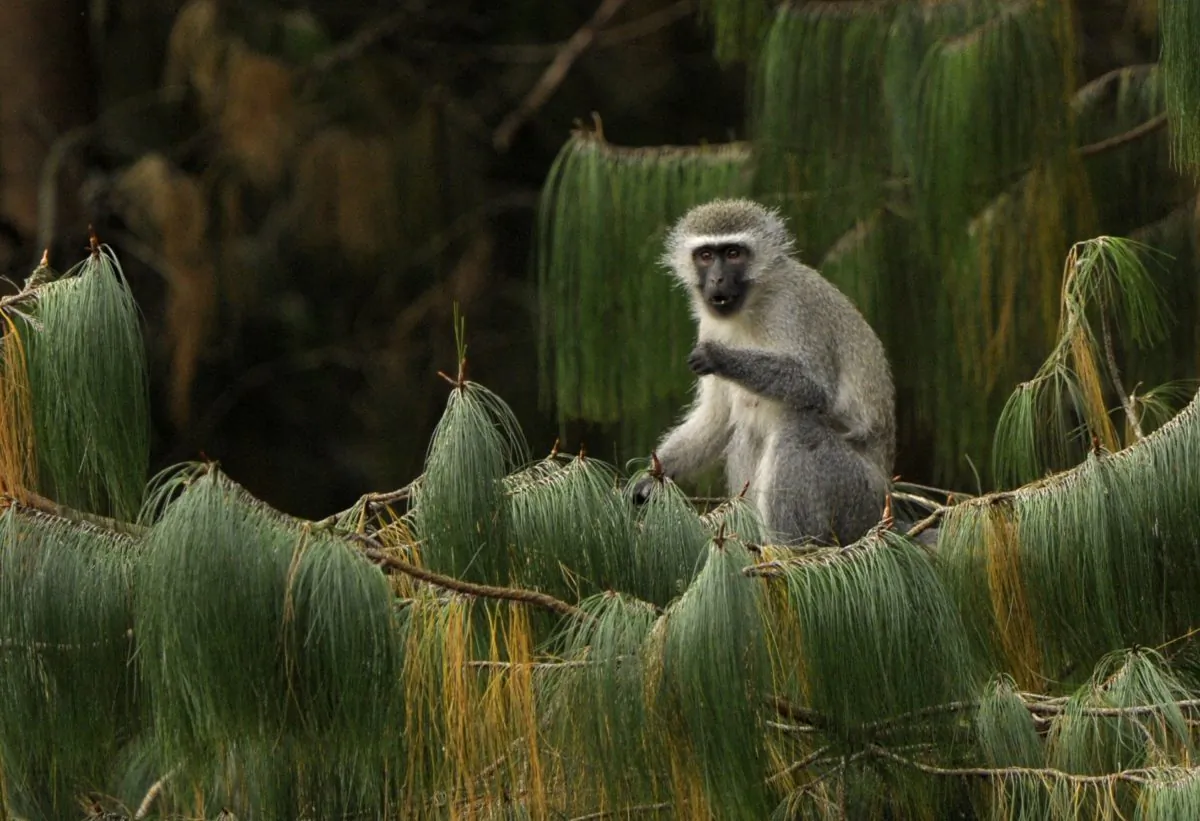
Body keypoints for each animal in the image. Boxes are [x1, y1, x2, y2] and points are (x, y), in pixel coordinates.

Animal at [631, 198, 896, 546]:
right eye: (705, 256)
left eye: (733, 253)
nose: (717, 280)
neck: (750, 307)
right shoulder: (708, 325)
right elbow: (716, 418)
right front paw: (650, 479)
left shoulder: (793, 307)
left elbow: (815, 387)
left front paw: (720, 357)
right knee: (745, 429)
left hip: (856, 497)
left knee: (798, 427)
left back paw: (786, 548)